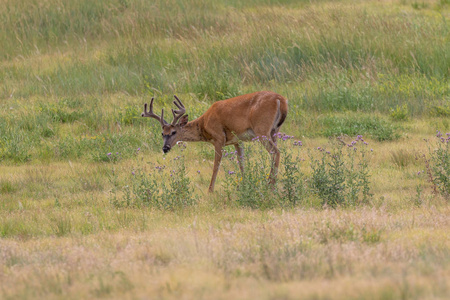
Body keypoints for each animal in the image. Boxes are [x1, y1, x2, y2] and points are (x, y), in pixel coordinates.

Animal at [142, 91, 288, 192]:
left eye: (173, 132)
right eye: (162, 134)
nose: (165, 148)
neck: (204, 124)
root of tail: (280, 99)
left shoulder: (219, 138)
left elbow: (216, 165)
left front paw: (210, 190)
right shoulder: (237, 141)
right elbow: (241, 162)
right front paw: (245, 184)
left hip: (262, 130)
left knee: (276, 152)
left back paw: (270, 185)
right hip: (274, 131)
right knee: (275, 152)